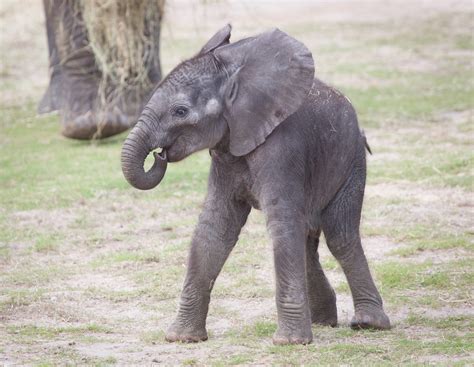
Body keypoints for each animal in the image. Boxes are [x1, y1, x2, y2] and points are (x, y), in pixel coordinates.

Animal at [120, 25, 390, 344]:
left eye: (180, 111)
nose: (159, 154)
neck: (235, 77)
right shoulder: (225, 150)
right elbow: (215, 226)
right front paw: (182, 338)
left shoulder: (282, 148)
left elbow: (281, 221)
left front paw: (288, 343)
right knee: (307, 238)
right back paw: (323, 321)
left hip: (352, 161)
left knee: (340, 235)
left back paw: (368, 324)